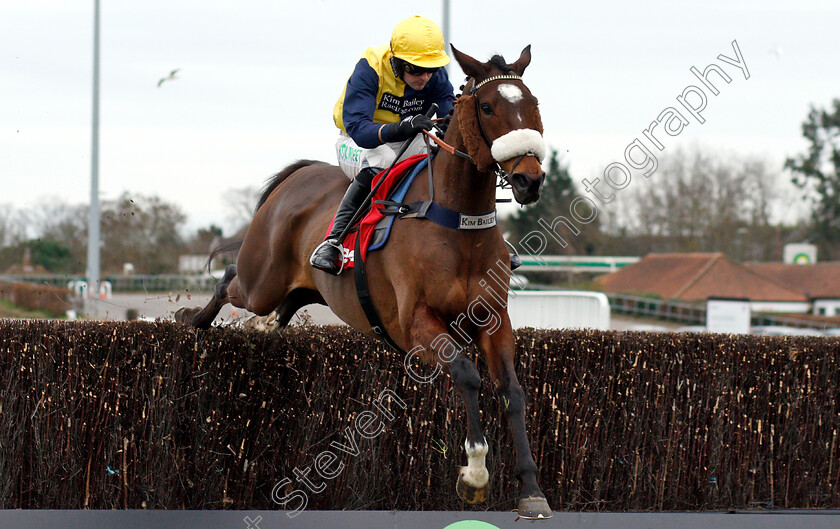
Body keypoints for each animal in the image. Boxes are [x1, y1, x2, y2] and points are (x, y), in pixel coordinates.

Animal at [177, 44, 556, 516]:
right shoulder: (416, 324)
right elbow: (468, 375)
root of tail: (297, 176)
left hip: (302, 289)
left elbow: (513, 391)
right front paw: (474, 474)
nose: (529, 179)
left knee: (278, 309)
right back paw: (192, 320)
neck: (458, 222)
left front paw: (531, 489)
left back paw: (259, 328)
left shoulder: (493, 319)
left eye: (534, 103)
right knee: (230, 279)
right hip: (261, 281)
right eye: (487, 107)